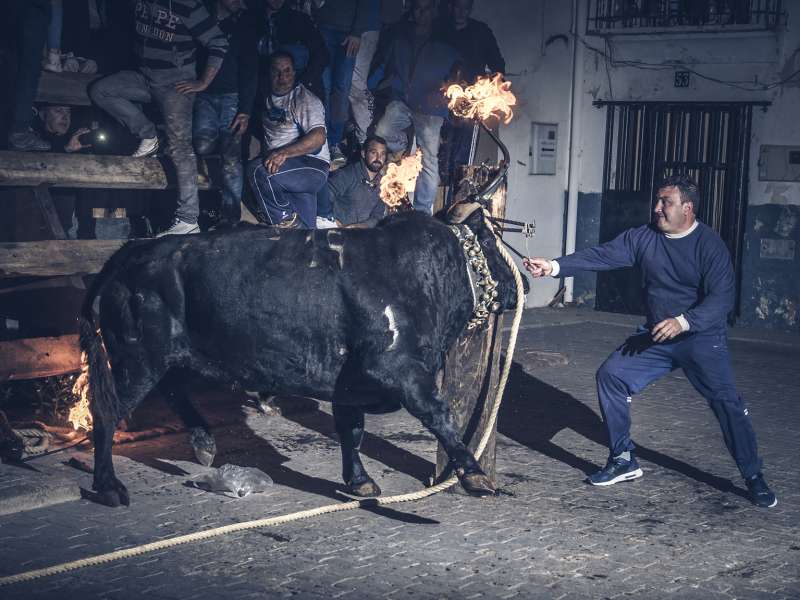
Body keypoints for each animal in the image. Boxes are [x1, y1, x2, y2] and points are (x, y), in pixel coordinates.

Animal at [79, 204, 524, 504]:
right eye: (492, 244)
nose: (523, 281)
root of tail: (132, 251)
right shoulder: (395, 368)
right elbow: (438, 414)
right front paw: (475, 476)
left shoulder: (349, 383)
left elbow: (351, 431)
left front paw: (359, 482)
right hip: (137, 359)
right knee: (107, 413)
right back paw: (108, 486)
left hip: (171, 356)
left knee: (171, 390)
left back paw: (204, 443)